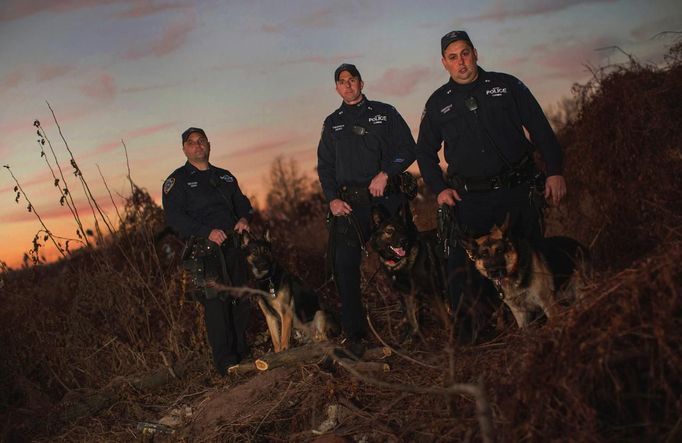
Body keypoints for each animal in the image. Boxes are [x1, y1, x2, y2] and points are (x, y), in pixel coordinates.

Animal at [370, 206, 448, 340]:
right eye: (389, 231)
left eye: (403, 229)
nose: (404, 241)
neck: (400, 263)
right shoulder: (407, 294)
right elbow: (412, 319)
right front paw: (413, 336)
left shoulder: (433, 291)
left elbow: (444, 318)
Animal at [456, 217, 588, 328]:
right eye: (484, 255)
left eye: (499, 251)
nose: (494, 271)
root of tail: (580, 245)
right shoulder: (521, 315)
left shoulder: (549, 304)